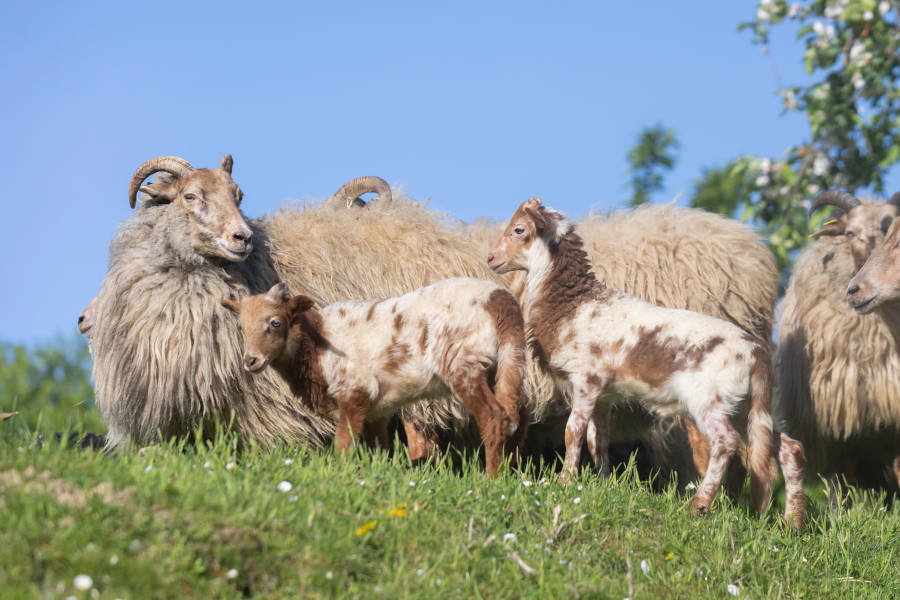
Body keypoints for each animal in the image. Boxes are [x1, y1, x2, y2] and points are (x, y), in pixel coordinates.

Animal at [222, 279, 527, 475]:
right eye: (240, 327)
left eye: (276, 323)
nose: (250, 361)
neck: (315, 343)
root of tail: (500, 300)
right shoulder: (376, 409)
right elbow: (379, 449)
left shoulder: (354, 392)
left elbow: (343, 445)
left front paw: (339, 475)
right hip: (505, 363)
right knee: (516, 418)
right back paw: (509, 474)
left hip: (463, 363)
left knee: (493, 417)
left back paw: (490, 479)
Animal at [487, 198, 805, 525]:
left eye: (519, 229)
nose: (490, 258)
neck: (572, 304)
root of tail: (755, 352)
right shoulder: (603, 395)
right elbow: (597, 440)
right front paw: (603, 484)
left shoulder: (586, 380)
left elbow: (572, 432)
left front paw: (564, 481)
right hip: (746, 406)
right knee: (787, 447)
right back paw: (792, 523)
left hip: (710, 399)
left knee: (726, 443)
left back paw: (700, 505)